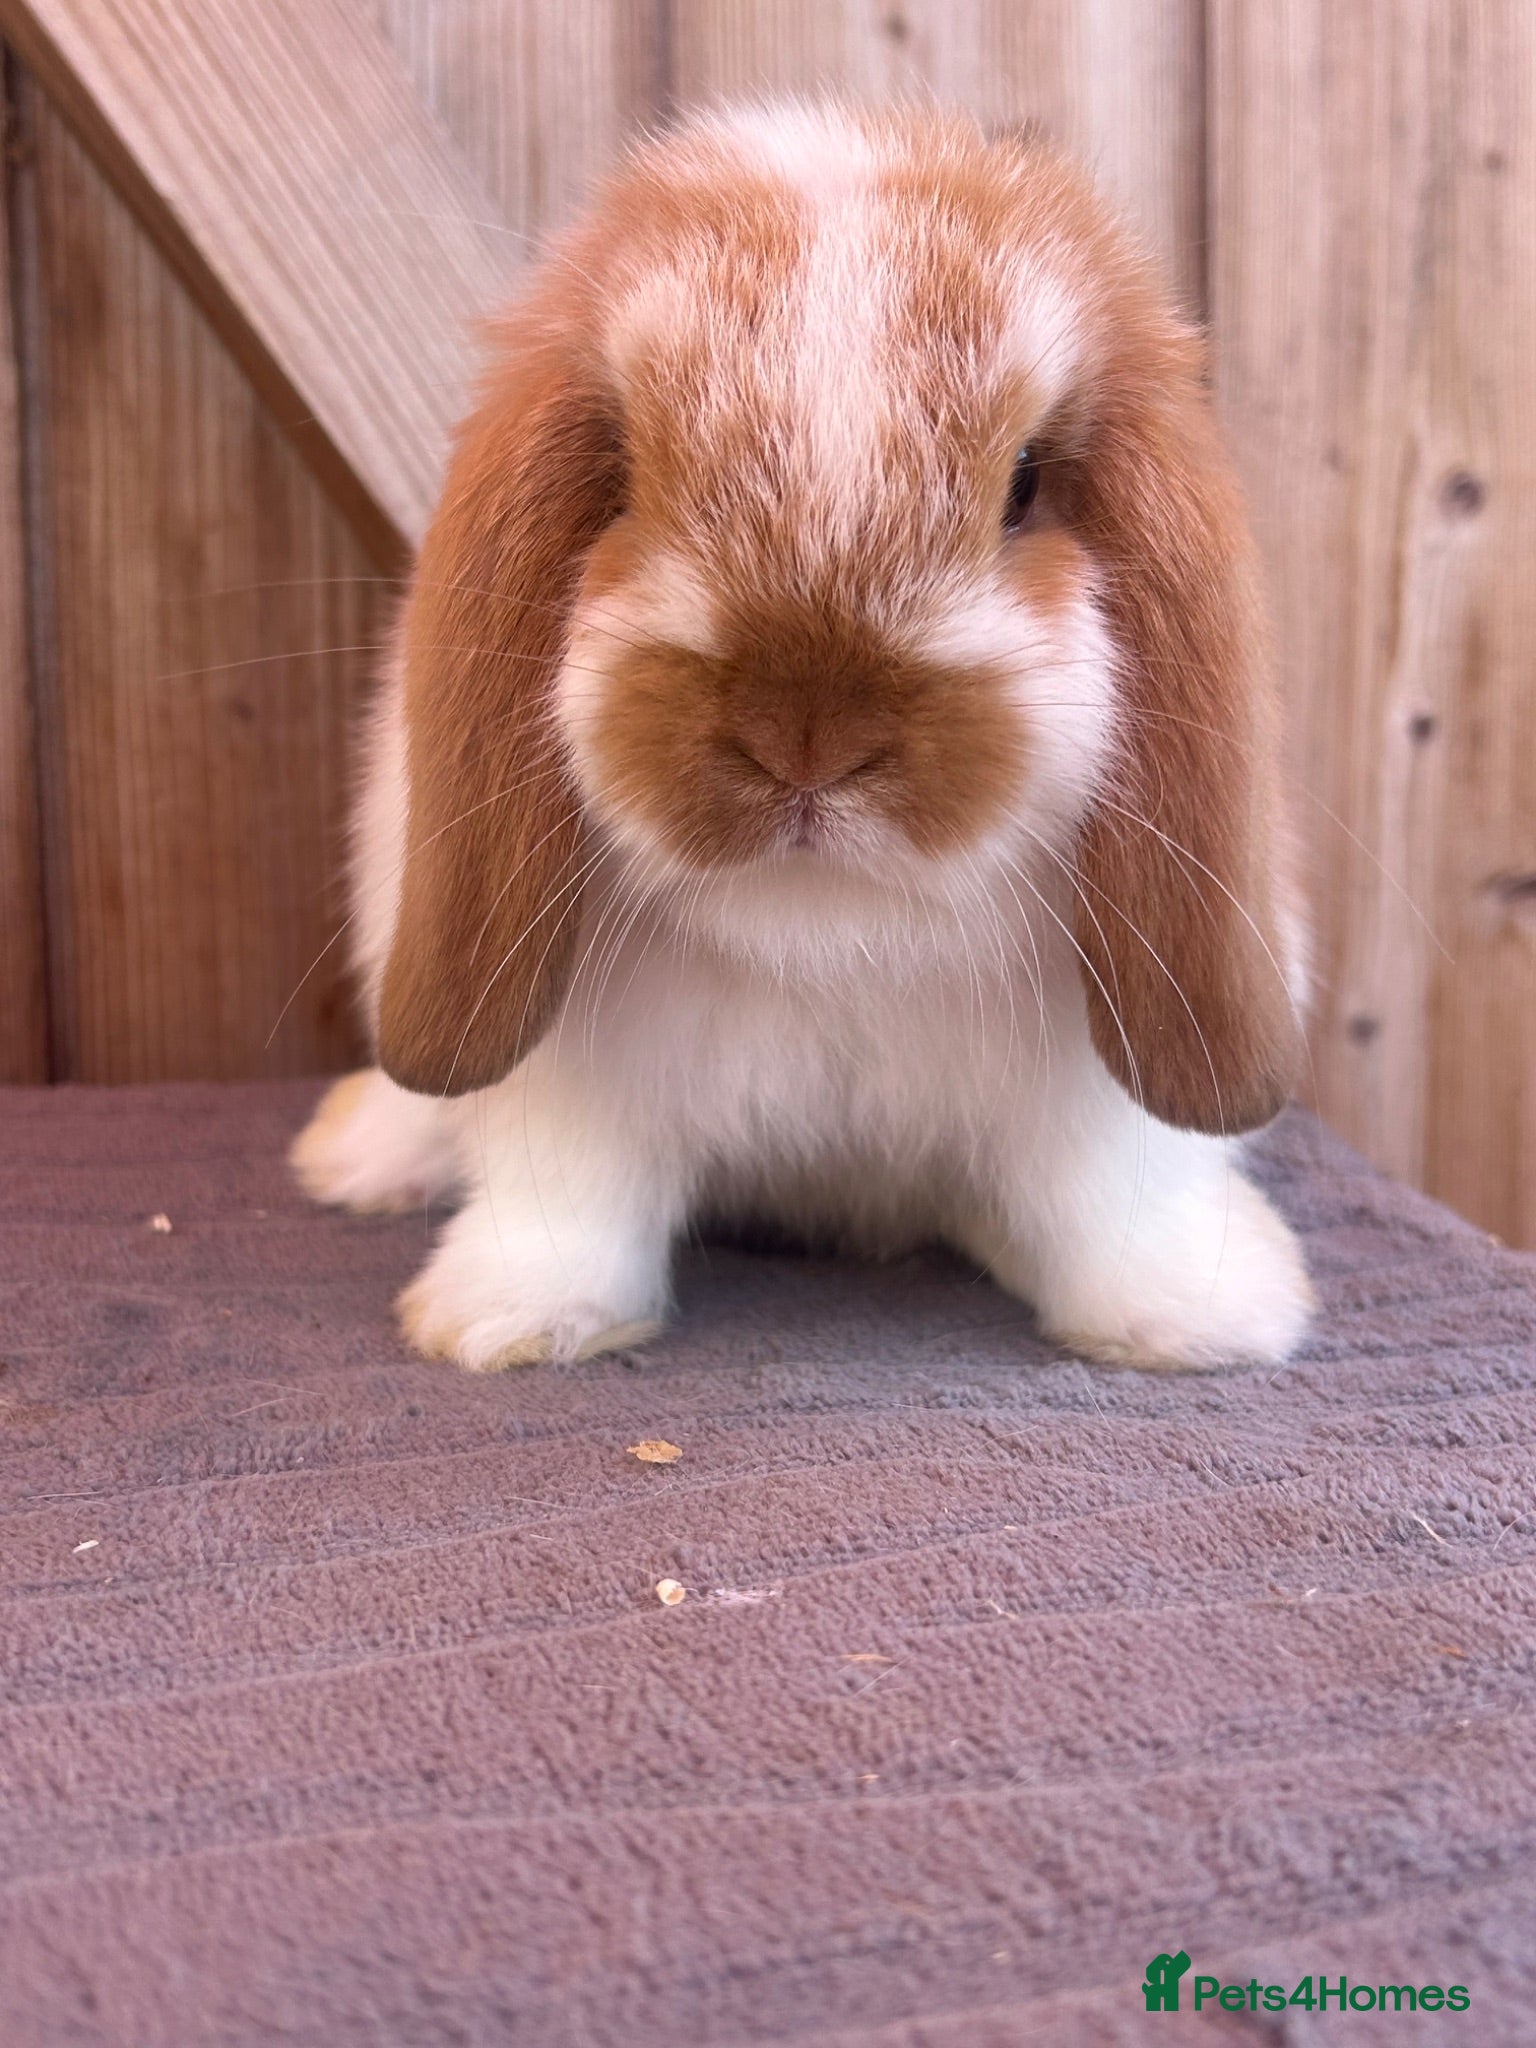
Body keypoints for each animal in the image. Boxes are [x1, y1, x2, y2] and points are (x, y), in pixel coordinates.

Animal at [292, 99, 1315, 1374]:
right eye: (625, 473)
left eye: (1026, 483)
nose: (807, 736)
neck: (829, 936)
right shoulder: (580, 1089)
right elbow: (572, 1196)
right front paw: (513, 1322)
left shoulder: (1088, 1106)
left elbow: (1106, 1202)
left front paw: (1199, 1319)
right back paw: (355, 1154)